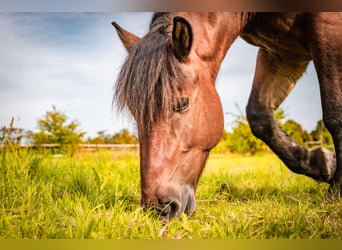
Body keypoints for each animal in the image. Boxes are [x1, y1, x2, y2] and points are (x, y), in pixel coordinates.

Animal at [111, 12, 340, 219]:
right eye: (135, 111)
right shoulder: (281, 52)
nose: (158, 209)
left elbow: (334, 113)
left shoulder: (327, 29)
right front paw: (324, 163)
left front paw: (336, 191)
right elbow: (260, 117)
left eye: (182, 104)